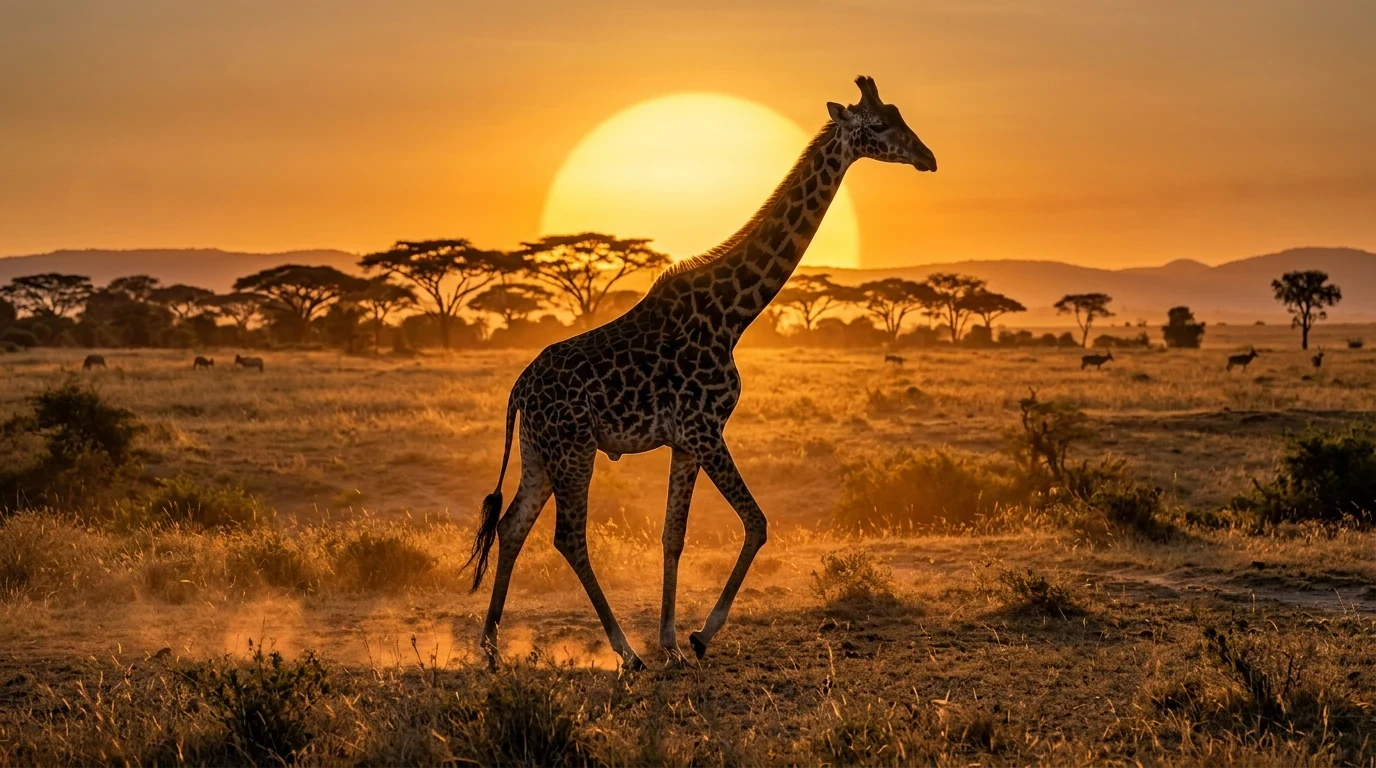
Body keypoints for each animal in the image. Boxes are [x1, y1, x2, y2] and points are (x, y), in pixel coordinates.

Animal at [467, 76, 937, 670]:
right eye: (877, 125)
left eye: (899, 115)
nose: (927, 157)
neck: (732, 314)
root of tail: (518, 391)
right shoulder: (705, 429)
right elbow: (757, 522)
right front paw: (700, 635)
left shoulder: (685, 441)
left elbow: (674, 533)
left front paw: (671, 639)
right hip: (574, 449)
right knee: (568, 537)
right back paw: (625, 652)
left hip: (539, 452)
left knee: (512, 526)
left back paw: (490, 648)